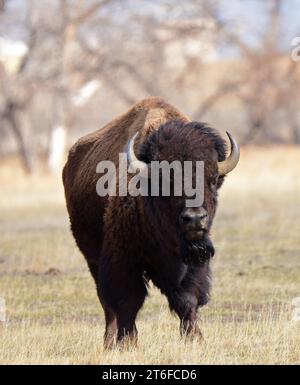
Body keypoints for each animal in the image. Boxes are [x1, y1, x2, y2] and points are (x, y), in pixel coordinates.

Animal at [62, 96, 239, 348]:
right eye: (166, 181)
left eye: (213, 179)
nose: (195, 218)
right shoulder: (123, 260)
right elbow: (127, 301)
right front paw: (128, 343)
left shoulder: (194, 260)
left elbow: (187, 299)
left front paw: (195, 338)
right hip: (92, 256)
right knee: (107, 303)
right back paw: (109, 342)